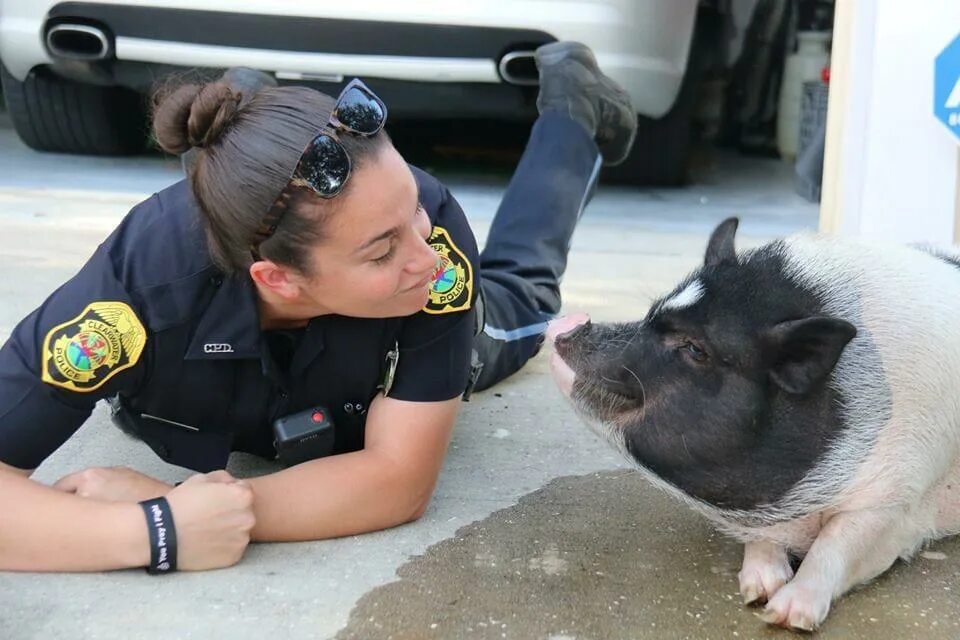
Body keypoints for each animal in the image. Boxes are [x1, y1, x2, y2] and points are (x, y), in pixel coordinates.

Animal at [544, 219, 960, 632]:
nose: (569, 322)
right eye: (651, 314)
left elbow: (836, 544)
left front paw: (785, 615)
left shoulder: (897, 499)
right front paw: (757, 590)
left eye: (696, 349)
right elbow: (763, 540)